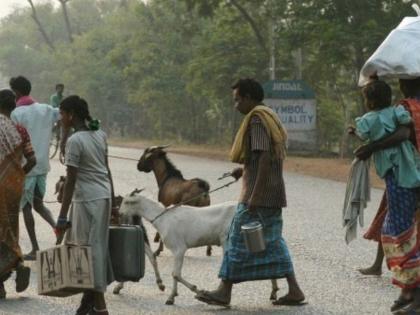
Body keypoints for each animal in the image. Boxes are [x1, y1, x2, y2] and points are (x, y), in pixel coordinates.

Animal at [118, 194, 278, 304]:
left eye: (126, 202)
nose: (119, 213)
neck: (163, 218)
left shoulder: (179, 248)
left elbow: (175, 274)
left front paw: (193, 290)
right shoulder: (177, 250)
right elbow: (175, 274)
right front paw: (172, 297)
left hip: (230, 238)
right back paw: (274, 290)